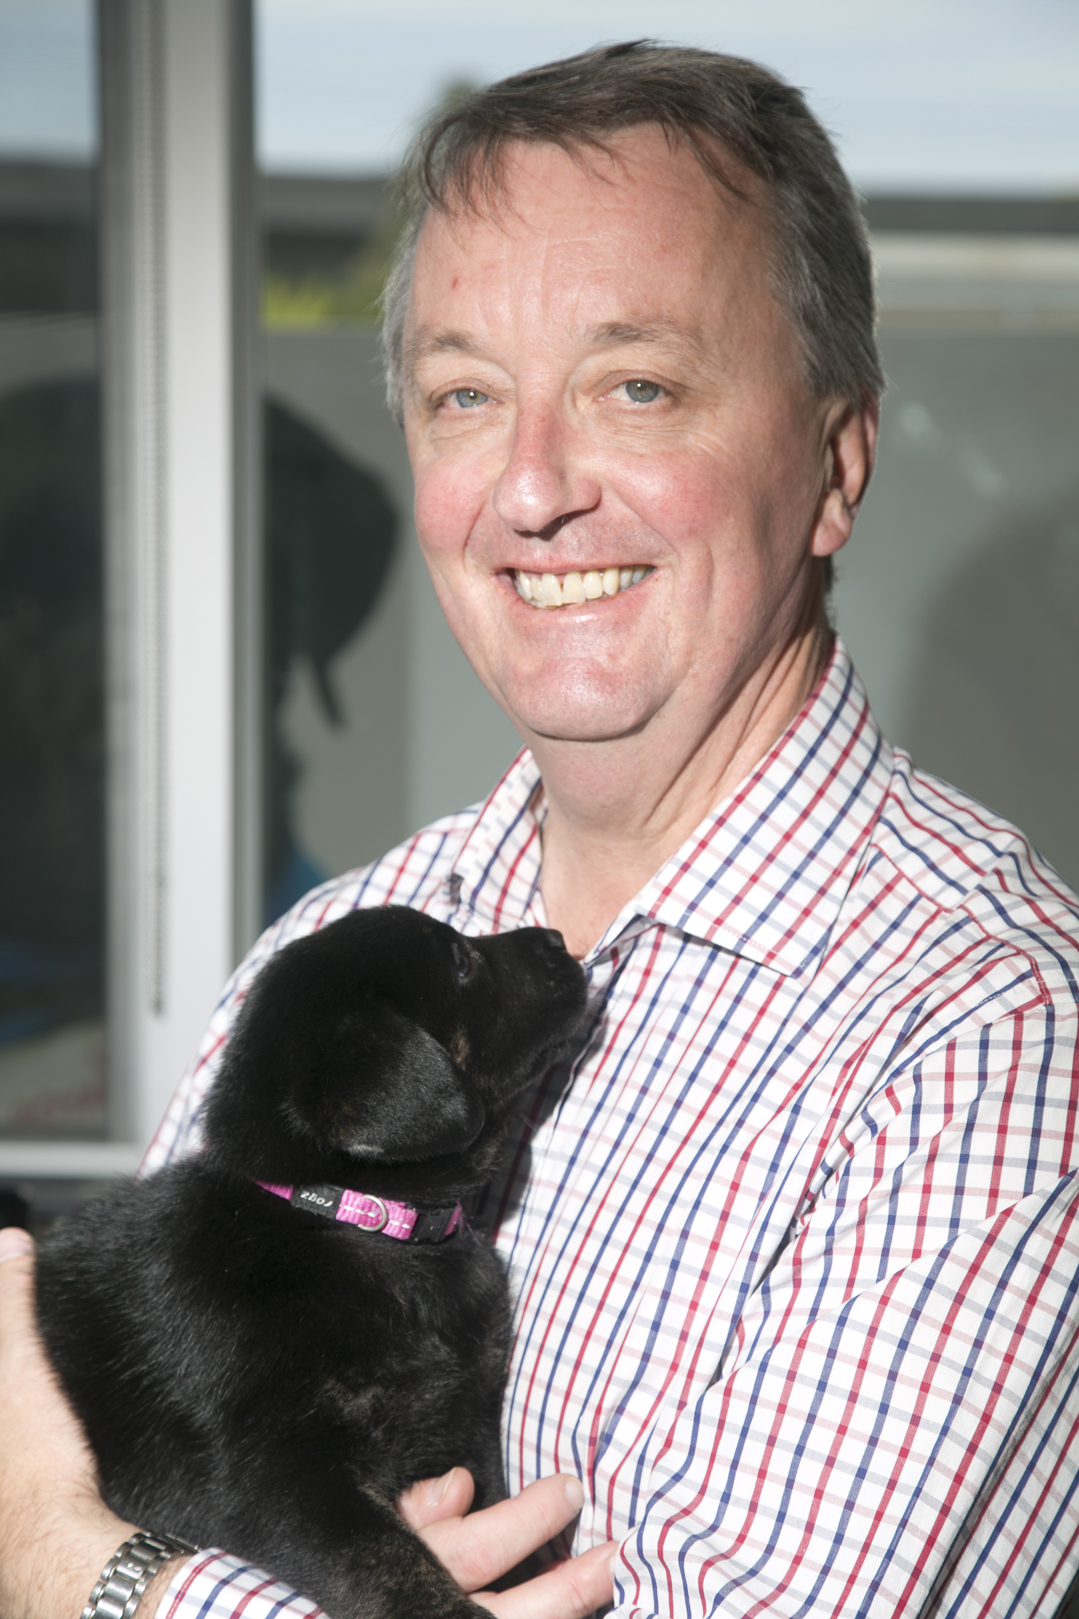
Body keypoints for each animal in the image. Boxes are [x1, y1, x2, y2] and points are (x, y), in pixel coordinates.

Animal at [37, 913, 589, 1619]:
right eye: (463, 963)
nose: (557, 940)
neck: (349, 1218)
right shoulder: (273, 1479)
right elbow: (387, 1560)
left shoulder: (465, 1424)